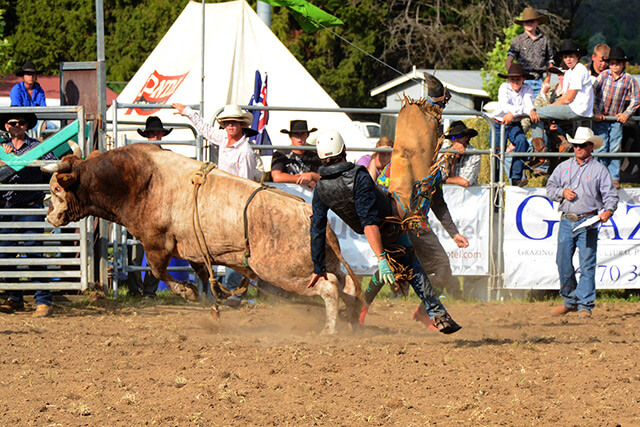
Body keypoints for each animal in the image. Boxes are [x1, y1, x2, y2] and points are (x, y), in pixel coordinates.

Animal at [42, 144, 362, 334]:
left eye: (57, 189)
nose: (49, 216)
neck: (137, 181)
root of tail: (309, 212)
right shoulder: (193, 250)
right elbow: (198, 269)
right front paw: (210, 299)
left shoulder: (157, 243)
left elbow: (158, 270)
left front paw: (187, 292)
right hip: (324, 262)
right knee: (346, 284)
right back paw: (351, 319)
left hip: (284, 272)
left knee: (330, 289)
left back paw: (330, 330)